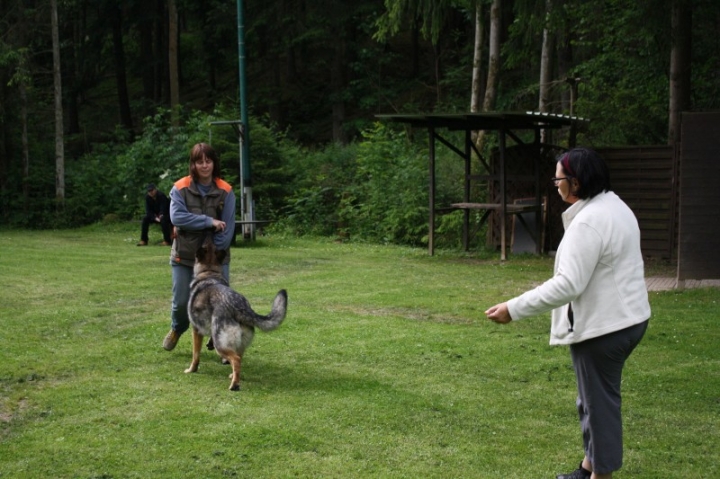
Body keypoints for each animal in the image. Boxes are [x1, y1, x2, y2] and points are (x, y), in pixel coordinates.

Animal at [184, 238, 288, 392]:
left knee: (236, 360)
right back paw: (233, 377)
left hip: (221, 345)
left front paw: (192, 370)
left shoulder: (196, 330)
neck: (209, 272)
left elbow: (195, 355)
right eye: (210, 245)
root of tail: (241, 306)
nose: (210, 237)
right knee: (238, 360)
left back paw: (234, 385)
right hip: (239, 345)